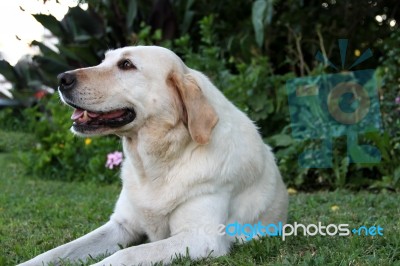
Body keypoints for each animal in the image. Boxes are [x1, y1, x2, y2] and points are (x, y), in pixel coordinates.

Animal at [20, 46, 288, 266]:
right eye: (104, 60)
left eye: (126, 64)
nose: (61, 79)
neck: (156, 162)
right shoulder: (121, 225)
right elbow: (57, 251)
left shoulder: (202, 237)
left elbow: (127, 254)